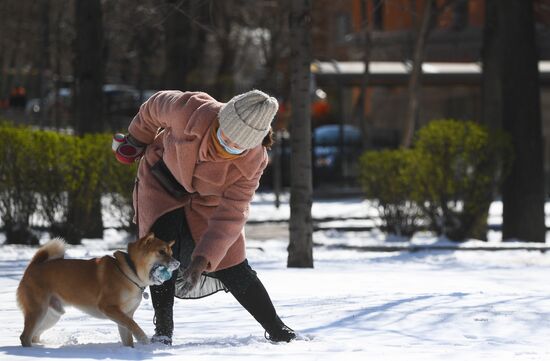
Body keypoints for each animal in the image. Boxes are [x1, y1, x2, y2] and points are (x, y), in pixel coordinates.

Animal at [16, 232, 180, 348]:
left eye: (171, 253)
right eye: (161, 252)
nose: (178, 263)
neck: (130, 272)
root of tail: (33, 266)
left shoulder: (125, 314)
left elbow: (128, 333)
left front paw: (129, 351)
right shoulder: (109, 307)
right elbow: (134, 325)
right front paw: (142, 338)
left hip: (51, 315)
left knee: (34, 335)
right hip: (38, 311)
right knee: (25, 336)